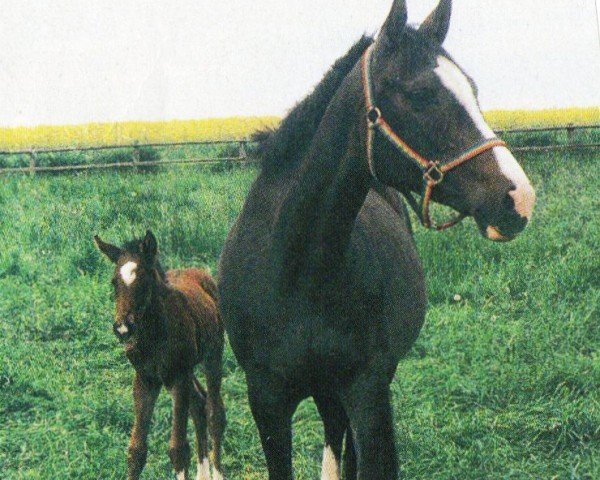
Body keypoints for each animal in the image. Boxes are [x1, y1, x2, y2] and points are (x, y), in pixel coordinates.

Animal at [95, 231, 226, 478]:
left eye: (144, 280)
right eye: (114, 282)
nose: (123, 328)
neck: (155, 336)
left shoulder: (177, 377)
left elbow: (178, 449)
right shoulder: (145, 380)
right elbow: (136, 450)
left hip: (213, 353)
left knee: (214, 412)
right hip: (187, 370)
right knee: (199, 404)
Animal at [219, 1, 536, 478]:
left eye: (473, 90)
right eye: (421, 93)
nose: (517, 198)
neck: (296, 271)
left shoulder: (368, 393)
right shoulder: (267, 401)